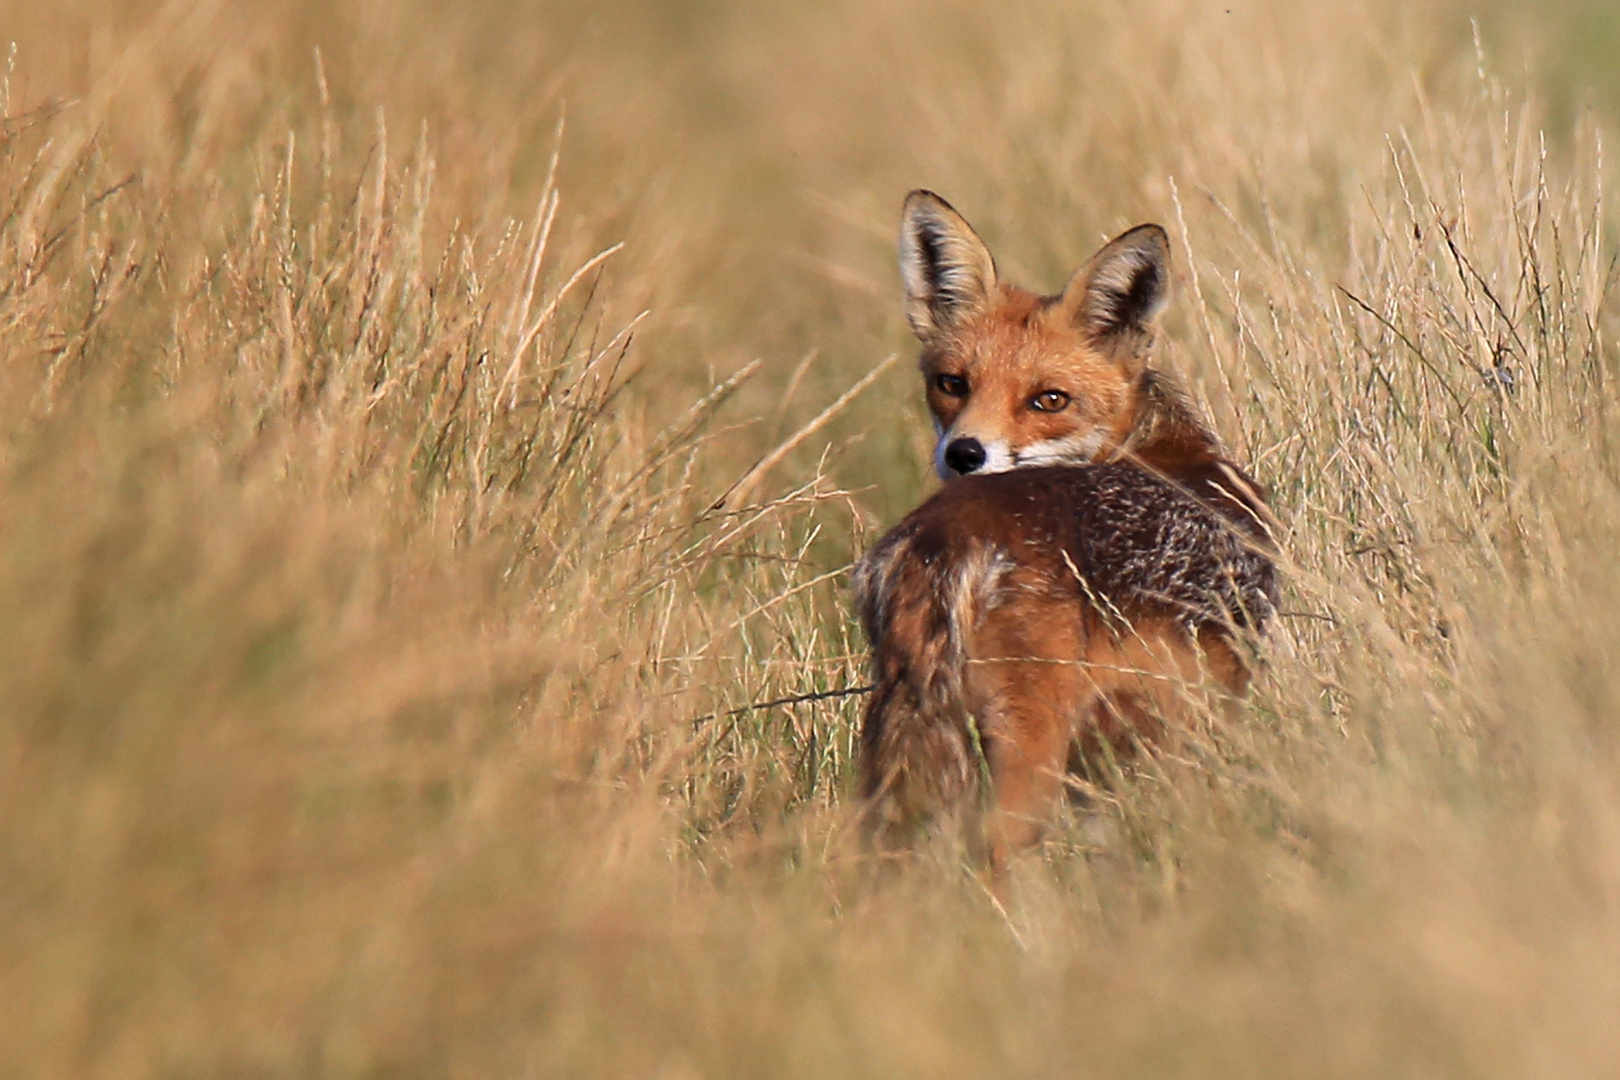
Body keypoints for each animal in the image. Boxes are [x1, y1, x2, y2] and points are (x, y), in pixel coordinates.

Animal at [848, 190, 1276, 874]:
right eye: (953, 384)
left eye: (1049, 400)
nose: (964, 455)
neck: (1155, 449)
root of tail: (947, 532)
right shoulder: (1205, 706)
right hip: (1030, 744)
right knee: (996, 848)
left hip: (897, 731)